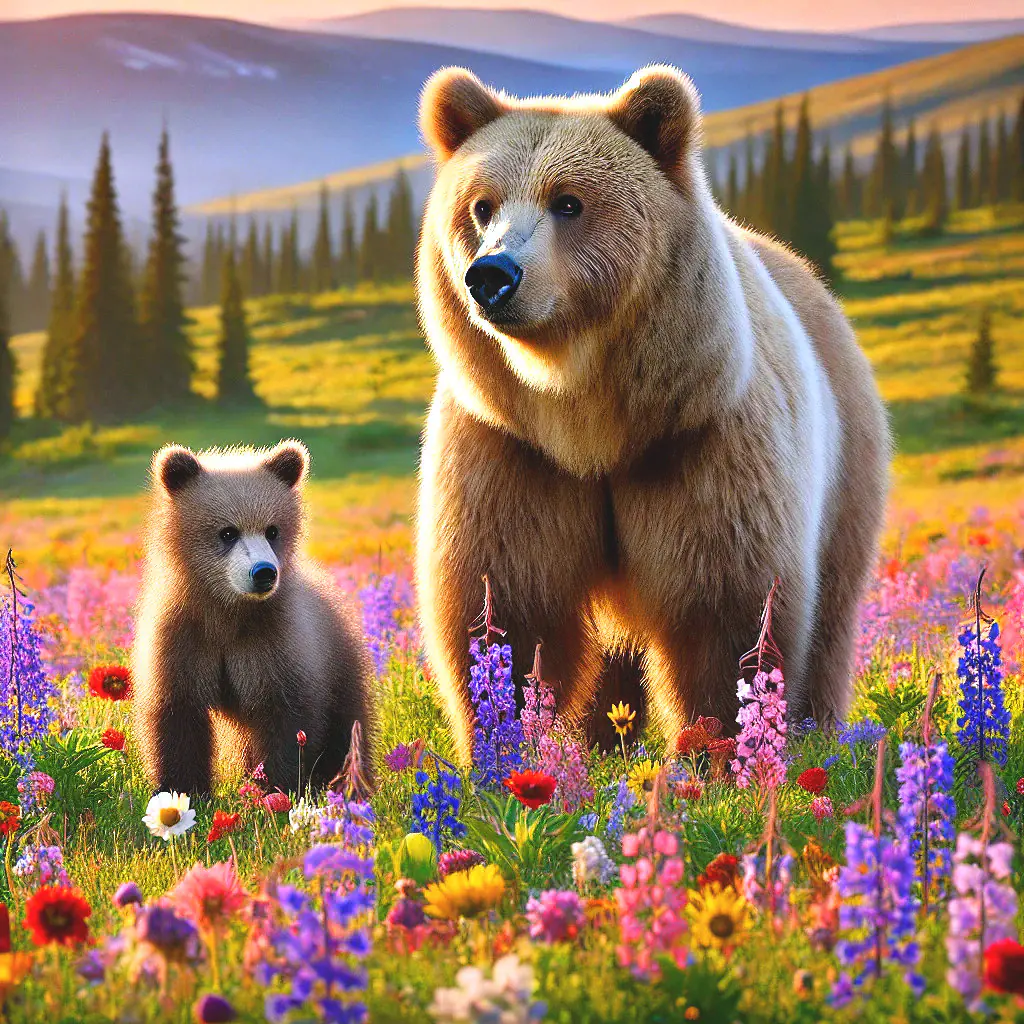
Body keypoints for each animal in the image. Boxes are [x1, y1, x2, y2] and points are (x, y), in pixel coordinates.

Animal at [132, 440, 373, 796]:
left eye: (272, 530)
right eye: (227, 532)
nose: (263, 573)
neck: (227, 613)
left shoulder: (275, 644)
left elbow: (287, 722)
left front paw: (278, 789)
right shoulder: (182, 639)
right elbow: (178, 720)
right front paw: (183, 790)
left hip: (340, 667)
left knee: (347, 730)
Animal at [413, 64, 891, 762]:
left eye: (568, 202)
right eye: (481, 205)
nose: (493, 275)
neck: (589, 419)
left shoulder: (701, 441)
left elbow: (723, 610)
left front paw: (718, 750)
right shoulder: (511, 450)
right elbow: (505, 604)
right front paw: (503, 748)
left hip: (846, 461)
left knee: (830, 609)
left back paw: (817, 730)